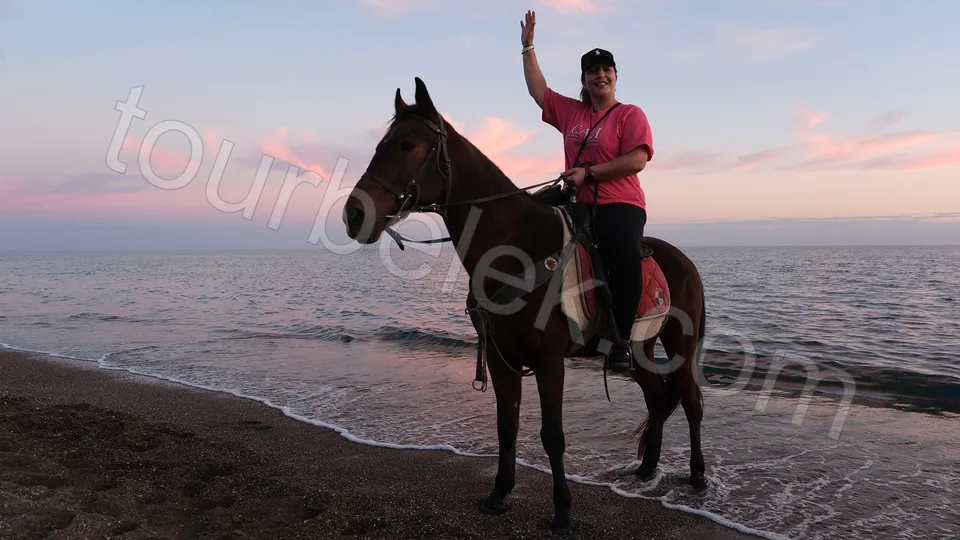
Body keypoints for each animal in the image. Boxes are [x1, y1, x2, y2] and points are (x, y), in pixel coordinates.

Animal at [342, 77, 707, 535]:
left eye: (408, 144)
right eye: (380, 145)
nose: (354, 214)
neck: (515, 246)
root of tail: (685, 261)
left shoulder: (549, 360)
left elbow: (552, 435)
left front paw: (563, 511)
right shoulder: (502, 358)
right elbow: (506, 425)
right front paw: (499, 493)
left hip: (681, 345)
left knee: (691, 402)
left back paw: (697, 476)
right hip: (639, 348)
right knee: (657, 398)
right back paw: (645, 469)